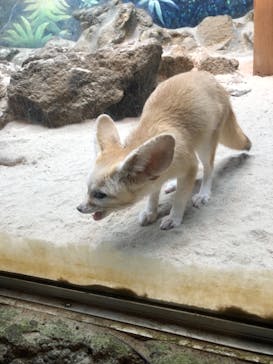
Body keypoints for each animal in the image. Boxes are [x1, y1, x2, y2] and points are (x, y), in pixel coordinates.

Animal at [77, 70, 251, 230]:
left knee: (209, 168)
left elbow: (180, 197)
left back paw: (203, 193)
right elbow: (153, 194)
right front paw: (150, 212)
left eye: (100, 195)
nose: (79, 208)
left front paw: (174, 217)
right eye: (87, 189)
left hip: (205, 145)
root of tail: (207, 75)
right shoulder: (159, 175)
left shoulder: (189, 164)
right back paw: (174, 183)